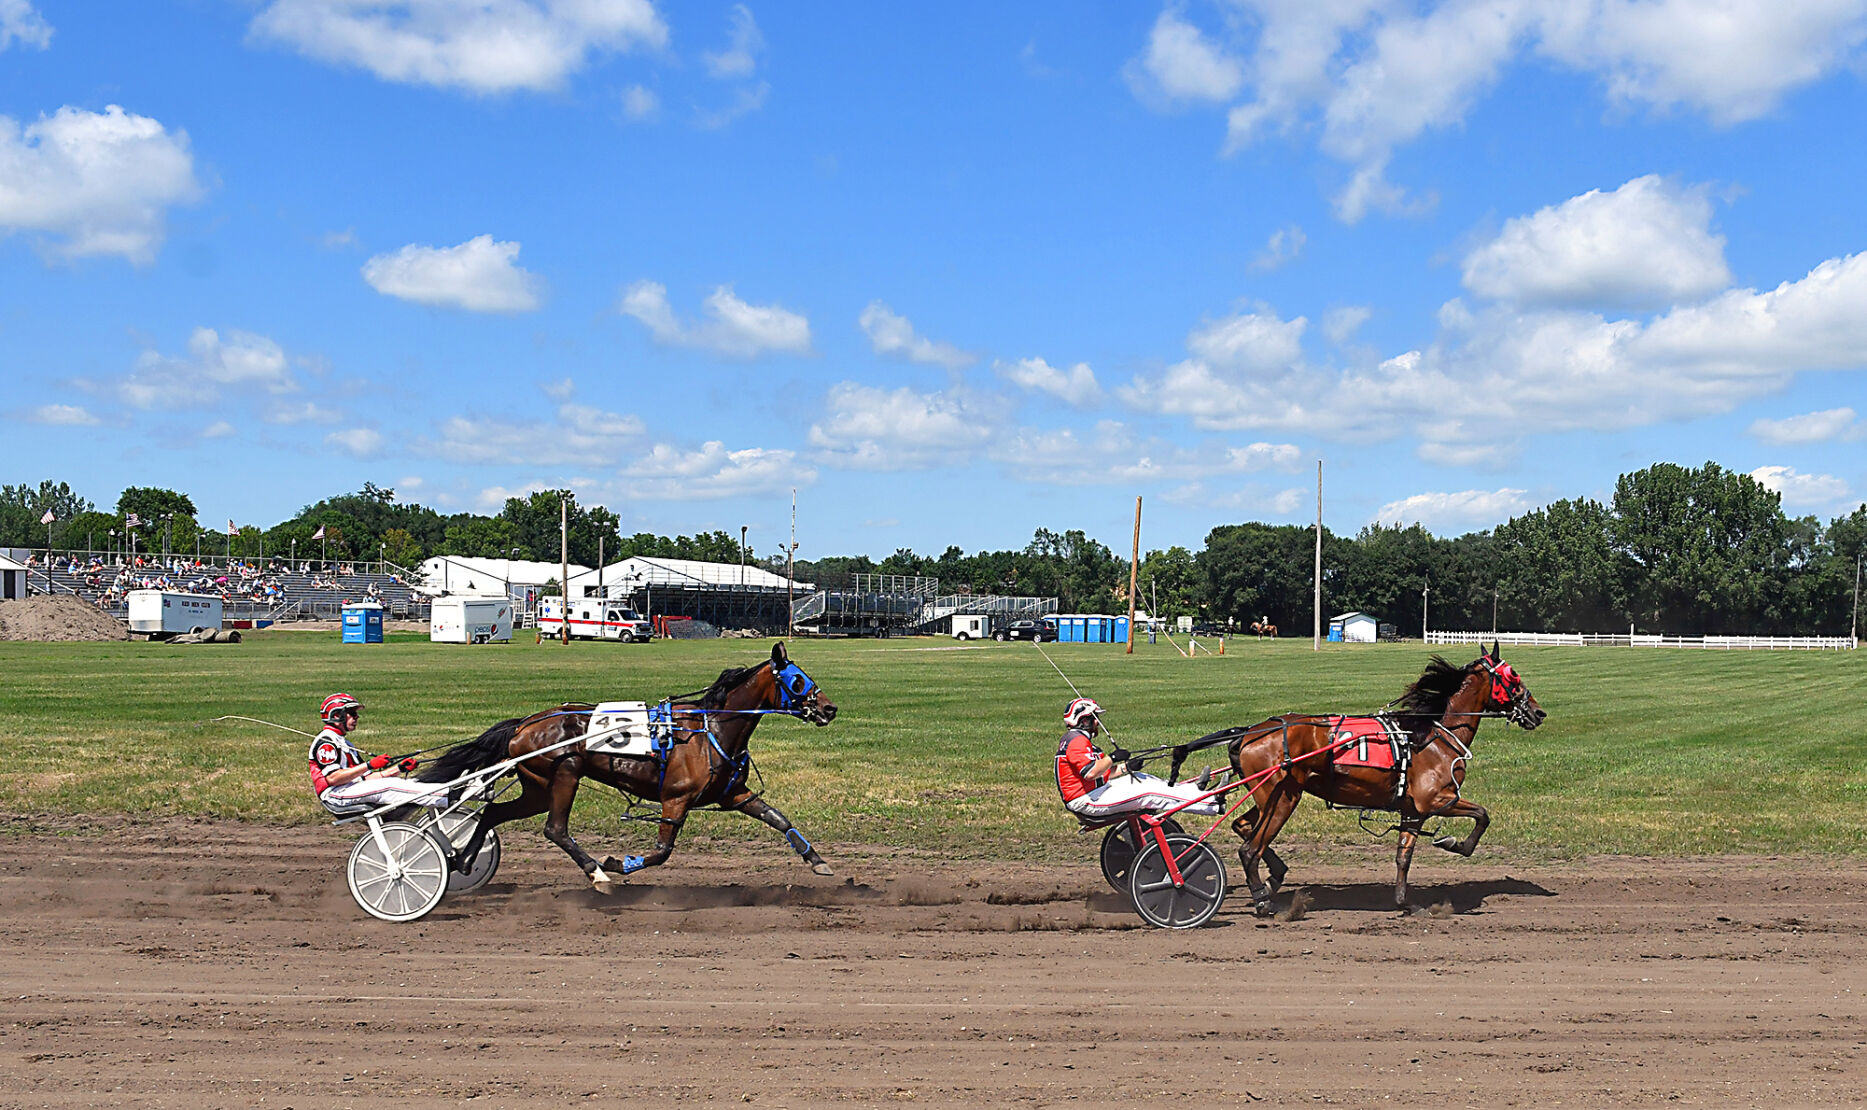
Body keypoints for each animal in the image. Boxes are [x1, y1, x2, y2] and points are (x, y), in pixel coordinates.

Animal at [423, 641, 840, 895]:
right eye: (797, 680)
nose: (829, 708)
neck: (710, 730)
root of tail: (525, 724)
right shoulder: (676, 799)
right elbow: (662, 851)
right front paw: (618, 863)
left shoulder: (733, 794)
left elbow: (779, 818)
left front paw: (818, 862)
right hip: (565, 771)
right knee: (555, 829)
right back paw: (597, 873)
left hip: (537, 786)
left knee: (493, 813)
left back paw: (463, 861)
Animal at [1224, 645, 1545, 917]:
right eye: (1513, 676)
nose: (1538, 712)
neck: (1432, 735)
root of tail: (1250, 733)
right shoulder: (1436, 799)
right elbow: (1482, 814)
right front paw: (1455, 843)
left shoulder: (1413, 810)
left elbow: (1404, 856)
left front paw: (1406, 903)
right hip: (1281, 798)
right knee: (1251, 848)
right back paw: (1263, 900)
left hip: (1273, 796)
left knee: (1242, 826)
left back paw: (1274, 878)